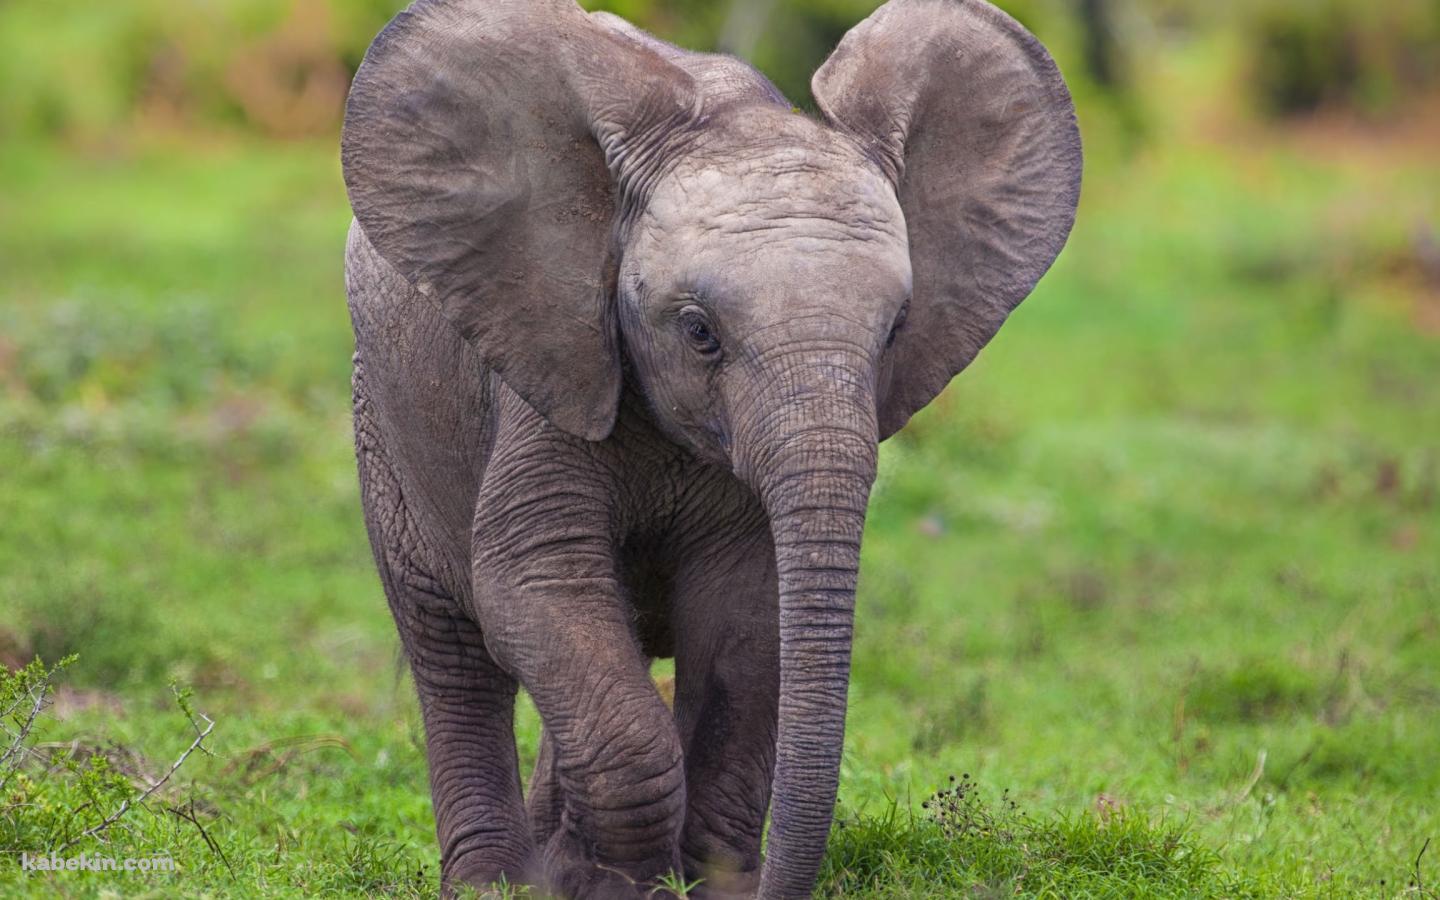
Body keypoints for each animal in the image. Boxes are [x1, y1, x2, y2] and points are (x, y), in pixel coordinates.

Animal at [340, 0, 1080, 896]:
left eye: (895, 330)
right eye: (699, 333)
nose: (762, 883)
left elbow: (745, 621)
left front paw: (694, 884)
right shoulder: (548, 372)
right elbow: (534, 584)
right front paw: (617, 887)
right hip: (384, 417)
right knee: (450, 650)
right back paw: (497, 883)